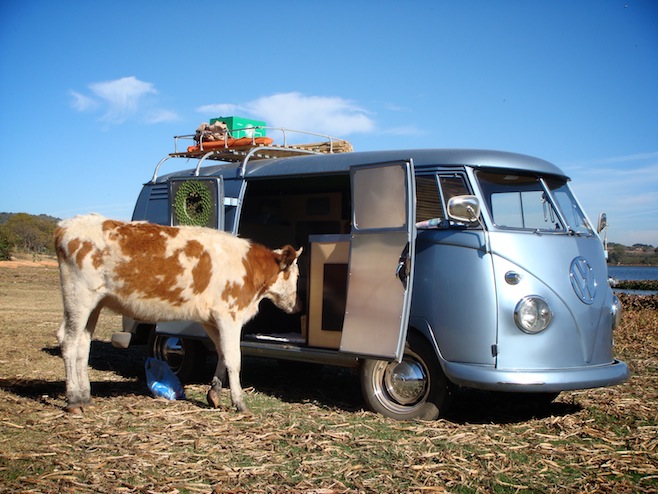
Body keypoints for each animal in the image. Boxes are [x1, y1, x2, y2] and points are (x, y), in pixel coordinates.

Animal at [54, 213, 302, 414]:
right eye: (296, 275)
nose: (298, 306)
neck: (248, 267)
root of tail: (66, 226)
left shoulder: (210, 319)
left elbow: (222, 352)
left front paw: (214, 393)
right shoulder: (229, 314)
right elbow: (234, 359)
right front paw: (240, 403)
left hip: (95, 304)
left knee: (83, 344)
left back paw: (86, 398)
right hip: (79, 296)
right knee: (68, 341)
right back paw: (74, 400)